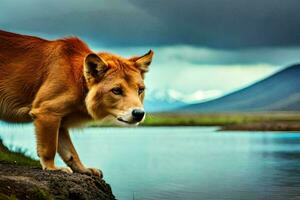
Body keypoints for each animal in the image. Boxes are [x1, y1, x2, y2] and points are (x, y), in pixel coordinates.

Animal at [0, 29, 154, 177]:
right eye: (116, 90)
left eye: (140, 90)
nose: (139, 114)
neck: (78, 80)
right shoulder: (46, 113)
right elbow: (49, 147)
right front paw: (52, 168)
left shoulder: (59, 121)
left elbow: (71, 152)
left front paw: (83, 169)